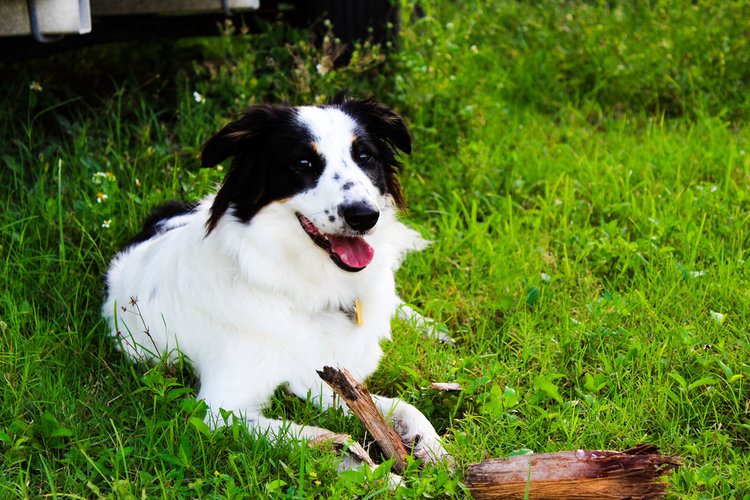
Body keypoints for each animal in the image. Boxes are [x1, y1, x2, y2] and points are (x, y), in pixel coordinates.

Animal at [102, 94, 450, 464]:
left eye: (364, 156)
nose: (365, 216)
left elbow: (405, 406)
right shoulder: (224, 409)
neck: (304, 288)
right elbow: (323, 440)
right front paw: (379, 471)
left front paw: (434, 448)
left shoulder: (330, 379)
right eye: (303, 163)